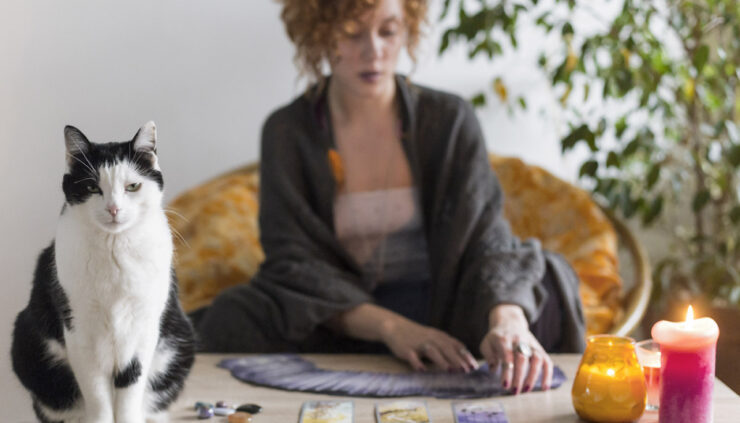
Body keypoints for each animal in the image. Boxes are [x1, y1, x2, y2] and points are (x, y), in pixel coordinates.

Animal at [13, 122, 197, 423]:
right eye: (91, 187)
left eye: (132, 186)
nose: (113, 208)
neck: (114, 249)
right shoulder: (79, 330)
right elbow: (96, 392)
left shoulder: (144, 328)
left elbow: (130, 386)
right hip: (29, 348)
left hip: (182, 341)